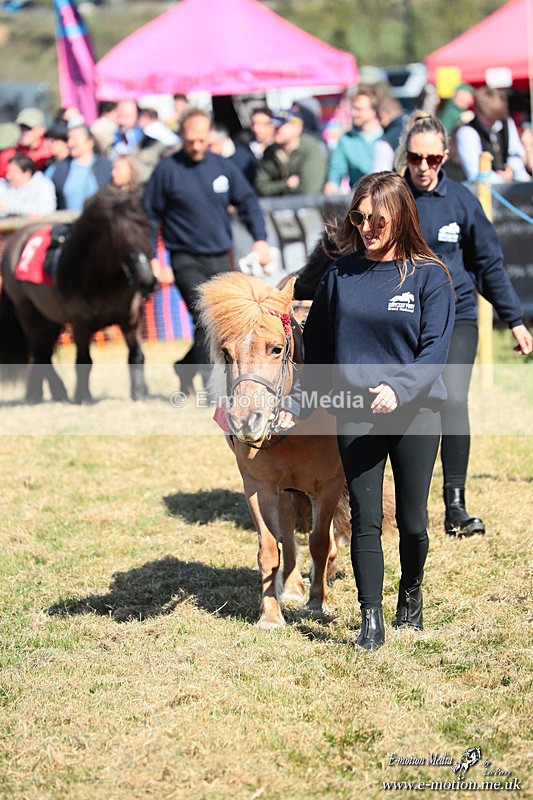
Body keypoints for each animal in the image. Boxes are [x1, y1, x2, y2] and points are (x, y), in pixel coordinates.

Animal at [0, 189, 157, 403]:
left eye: (145, 235)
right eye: (118, 240)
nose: (147, 281)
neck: (102, 284)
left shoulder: (131, 322)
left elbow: (136, 355)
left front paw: (139, 393)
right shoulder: (81, 325)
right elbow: (84, 360)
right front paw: (83, 397)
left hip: (50, 319)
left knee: (44, 352)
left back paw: (38, 393)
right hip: (27, 313)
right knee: (41, 353)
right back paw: (55, 392)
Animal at [197, 272, 349, 629]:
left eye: (276, 348)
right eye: (227, 353)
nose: (245, 420)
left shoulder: (330, 485)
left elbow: (320, 542)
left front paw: (317, 602)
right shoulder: (259, 487)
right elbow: (269, 548)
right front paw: (270, 615)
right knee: (289, 536)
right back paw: (292, 586)